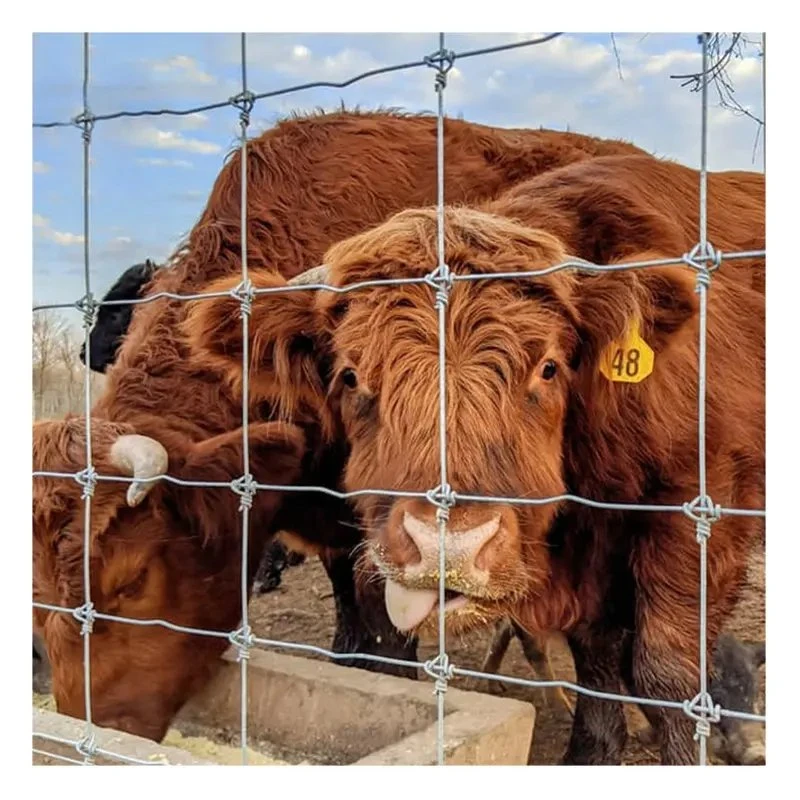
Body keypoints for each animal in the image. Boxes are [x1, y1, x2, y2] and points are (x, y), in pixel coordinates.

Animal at [186, 153, 764, 764]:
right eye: (349, 375)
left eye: (549, 367)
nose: (449, 547)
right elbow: (596, 655)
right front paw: (592, 751)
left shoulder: (703, 502)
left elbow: (667, 668)